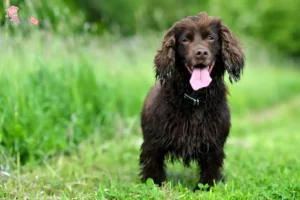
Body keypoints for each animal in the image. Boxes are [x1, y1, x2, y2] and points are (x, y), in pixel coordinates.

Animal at [139, 11, 245, 190]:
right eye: (185, 40)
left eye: (210, 37)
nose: (200, 53)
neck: (195, 98)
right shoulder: (152, 144)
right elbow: (153, 169)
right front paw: (155, 186)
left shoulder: (214, 145)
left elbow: (210, 170)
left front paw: (206, 187)